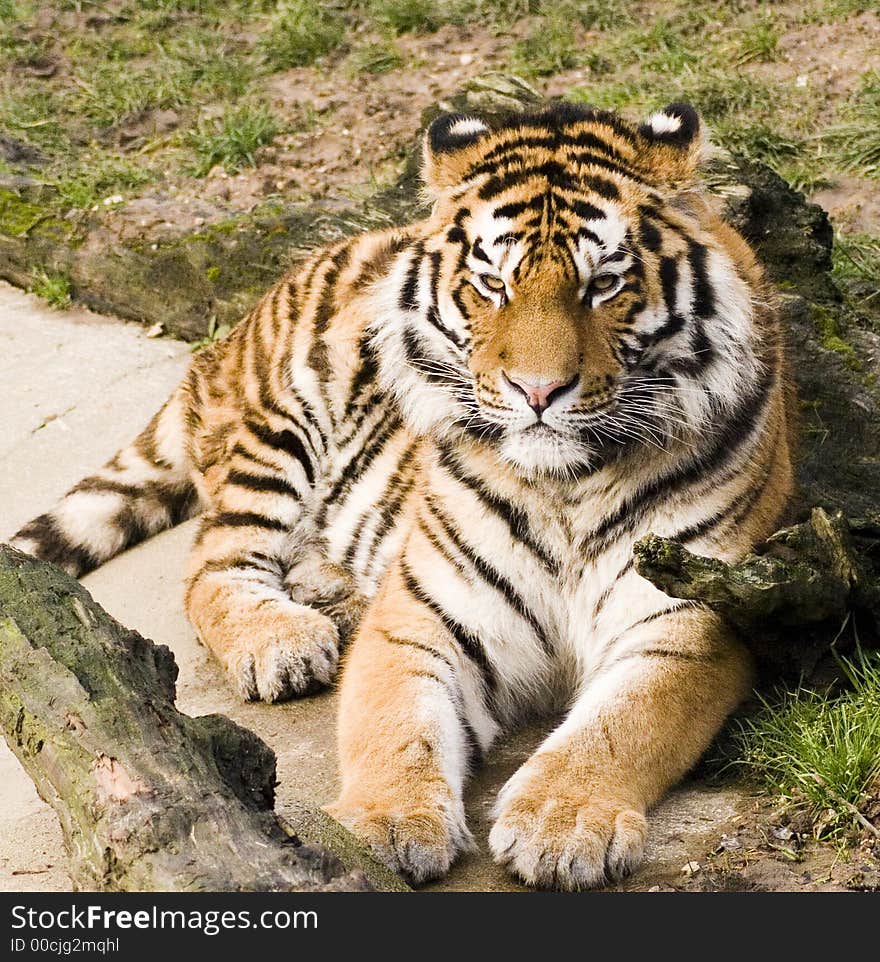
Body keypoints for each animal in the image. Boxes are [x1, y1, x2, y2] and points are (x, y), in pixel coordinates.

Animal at [8, 101, 792, 888]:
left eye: (603, 284)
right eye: (493, 284)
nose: (537, 391)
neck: (565, 486)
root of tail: (228, 338)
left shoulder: (690, 613)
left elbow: (620, 725)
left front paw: (562, 823)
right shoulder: (423, 614)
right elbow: (396, 723)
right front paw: (381, 825)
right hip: (281, 429)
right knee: (213, 566)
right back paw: (284, 640)